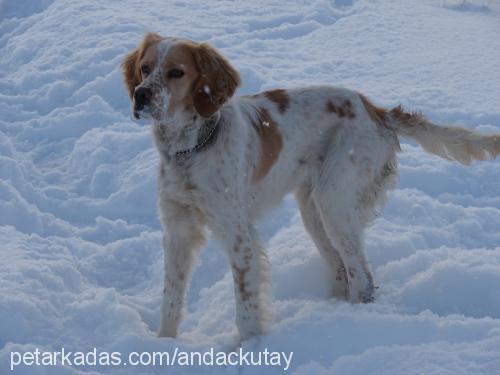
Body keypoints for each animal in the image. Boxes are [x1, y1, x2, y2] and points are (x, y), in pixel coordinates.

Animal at [121, 33, 500, 342]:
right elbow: (171, 297)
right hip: (313, 210)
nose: (141, 95)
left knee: (361, 275)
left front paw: (249, 349)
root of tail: (376, 110)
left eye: (176, 72)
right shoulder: (178, 230)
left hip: (335, 202)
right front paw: (164, 344)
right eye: (144, 68)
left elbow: (246, 306)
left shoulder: (238, 235)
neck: (190, 149)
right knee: (341, 270)